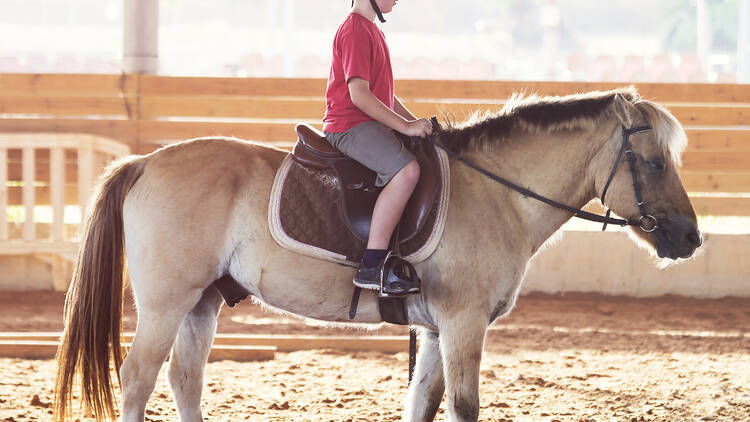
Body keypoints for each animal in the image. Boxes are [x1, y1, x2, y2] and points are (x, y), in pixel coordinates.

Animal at [54, 86, 704, 422]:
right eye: (653, 163)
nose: (690, 238)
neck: (496, 194)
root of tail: (146, 162)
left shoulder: (438, 329)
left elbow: (425, 402)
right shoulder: (464, 323)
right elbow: (464, 407)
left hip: (201, 302)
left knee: (184, 378)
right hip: (167, 302)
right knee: (138, 377)